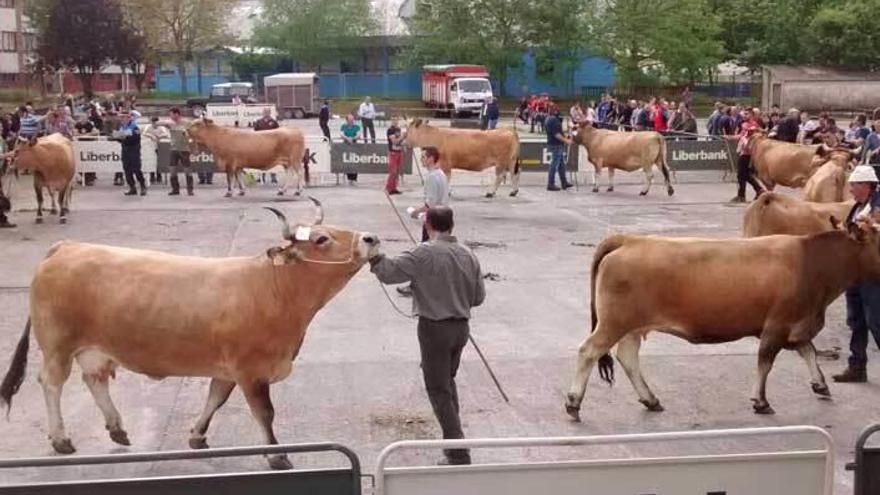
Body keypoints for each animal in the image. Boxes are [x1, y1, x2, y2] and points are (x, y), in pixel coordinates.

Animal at [2, 200, 382, 470]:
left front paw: (198, 436)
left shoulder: (228, 369)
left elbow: (215, 399)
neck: (273, 286)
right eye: (322, 239)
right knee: (51, 383)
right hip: (57, 345)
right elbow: (264, 413)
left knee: (95, 380)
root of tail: (66, 247)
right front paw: (277, 456)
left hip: (93, 348)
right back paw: (61, 439)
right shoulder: (251, 371)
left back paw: (117, 428)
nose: (371, 238)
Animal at [568, 219, 880, 420]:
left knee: (628, 357)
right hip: (614, 322)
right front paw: (761, 401)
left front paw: (821, 385)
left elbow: (810, 353)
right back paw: (573, 403)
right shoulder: (777, 325)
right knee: (589, 351)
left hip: (632, 325)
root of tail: (629, 239)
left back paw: (650, 399)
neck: (811, 263)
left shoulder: (797, 325)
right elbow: (766, 362)